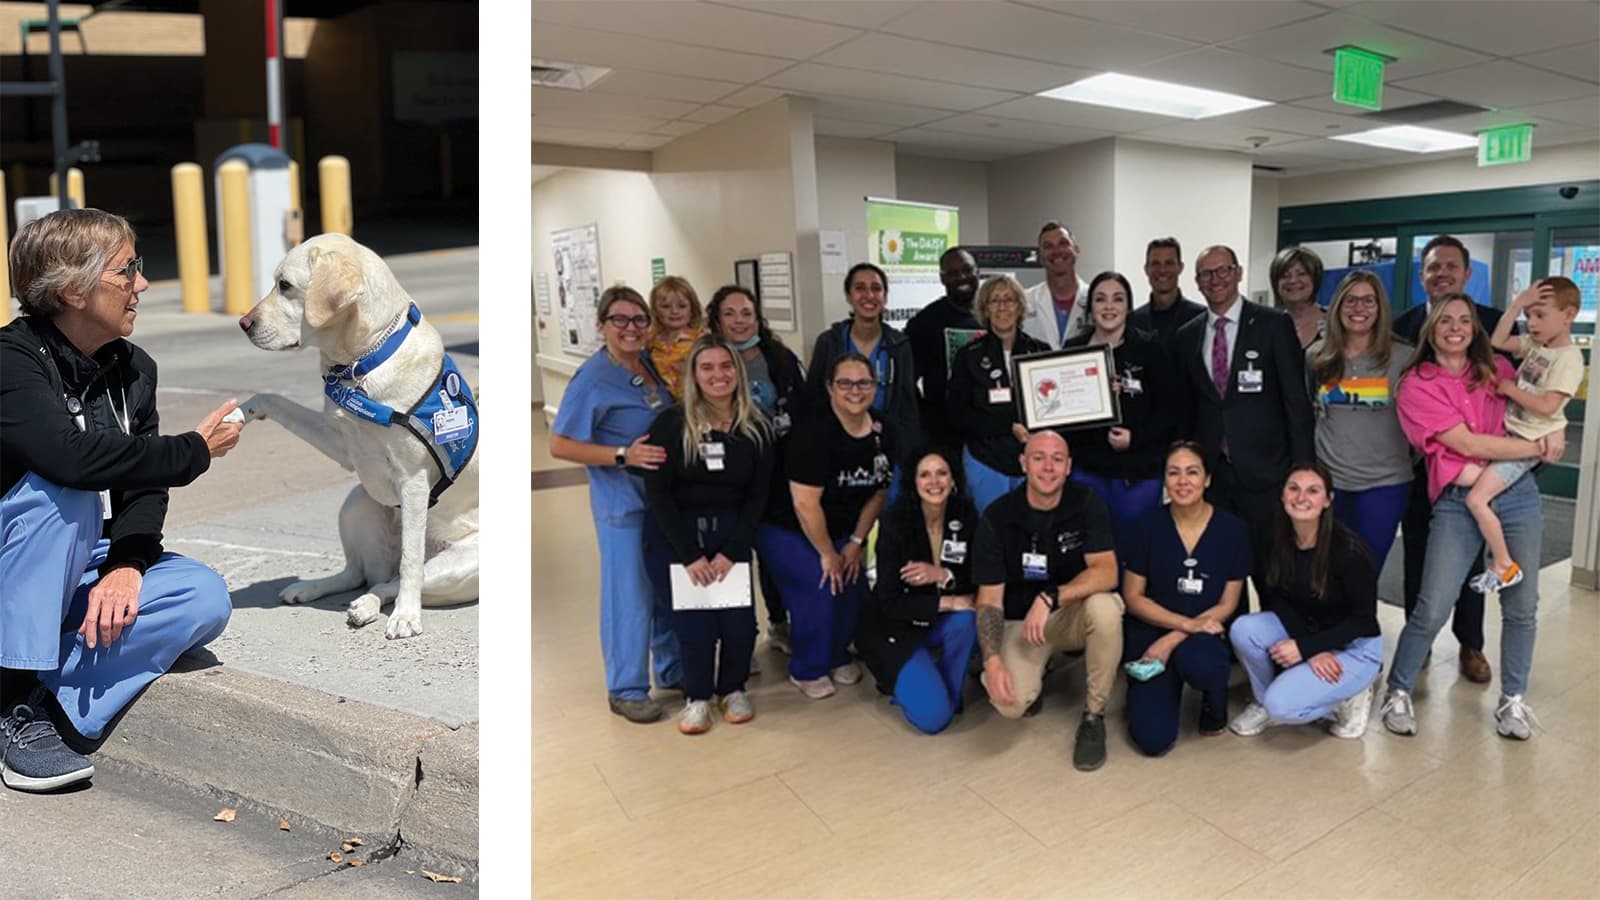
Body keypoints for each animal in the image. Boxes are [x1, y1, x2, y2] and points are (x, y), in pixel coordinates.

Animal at [233, 235, 476, 634]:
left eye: (285, 285)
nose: (243, 323)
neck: (363, 362)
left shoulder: (413, 481)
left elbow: (411, 561)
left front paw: (407, 616)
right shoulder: (341, 443)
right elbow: (274, 399)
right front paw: (242, 411)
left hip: (455, 566)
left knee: (394, 577)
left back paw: (373, 607)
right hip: (357, 501)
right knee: (359, 574)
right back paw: (313, 588)